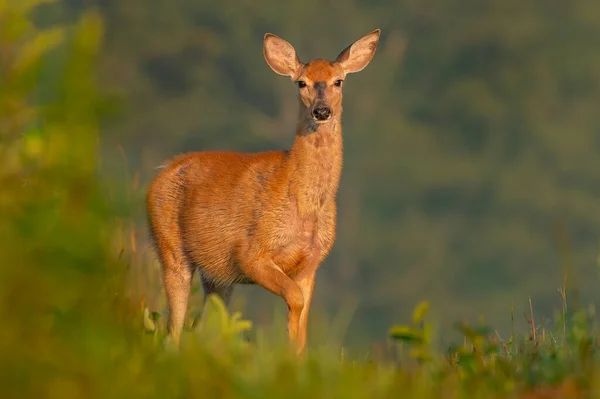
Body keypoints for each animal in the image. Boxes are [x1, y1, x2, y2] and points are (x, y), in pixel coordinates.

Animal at [146, 28, 380, 354]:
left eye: (338, 81)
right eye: (301, 82)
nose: (321, 111)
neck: (304, 203)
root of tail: (161, 171)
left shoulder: (310, 264)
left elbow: (302, 318)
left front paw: (296, 356)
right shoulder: (250, 254)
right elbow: (294, 299)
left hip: (216, 275)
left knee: (206, 324)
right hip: (170, 248)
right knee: (174, 329)